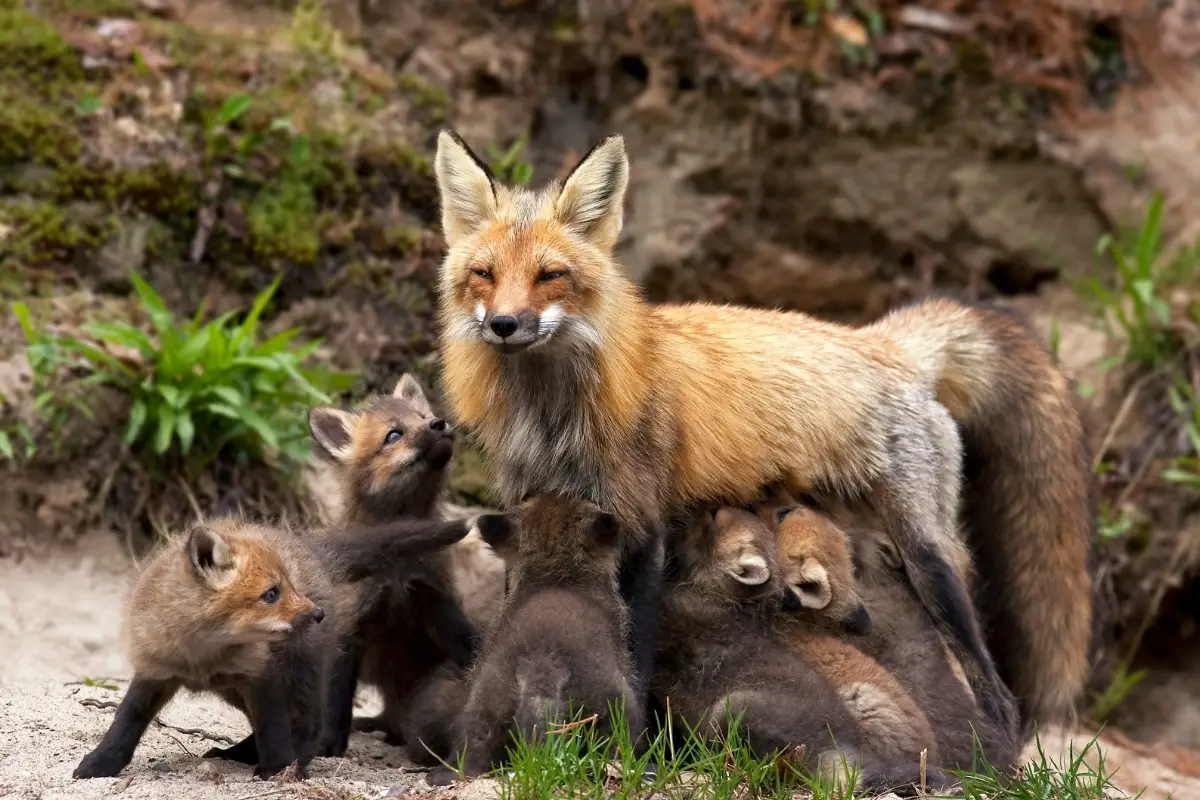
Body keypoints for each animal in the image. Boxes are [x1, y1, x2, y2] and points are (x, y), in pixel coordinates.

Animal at [429, 128, 1099, 734]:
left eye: (550, 276)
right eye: (485, 274)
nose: (505, 324)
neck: (550, 416)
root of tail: (882, 343)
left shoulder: (643, 527)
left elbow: (635, 657)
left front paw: (635, 748)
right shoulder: (529, 506)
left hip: (927, 553)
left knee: (997, 686)